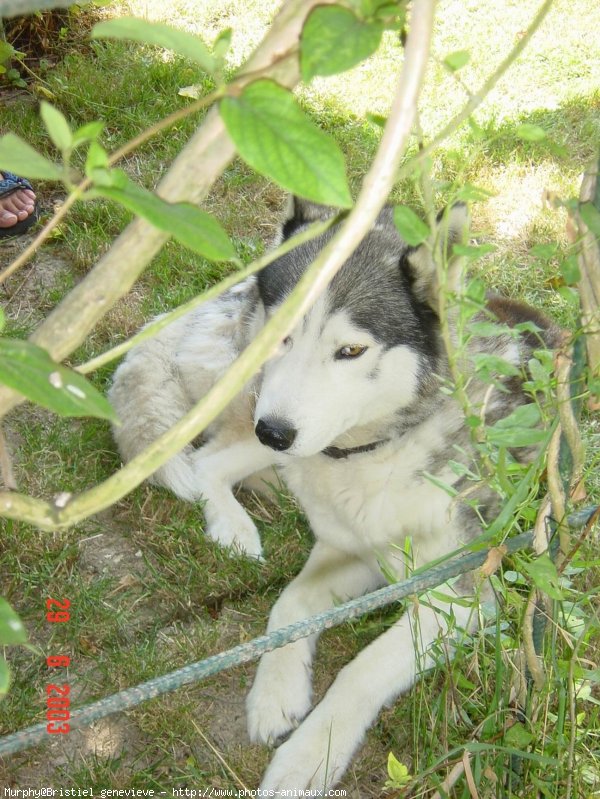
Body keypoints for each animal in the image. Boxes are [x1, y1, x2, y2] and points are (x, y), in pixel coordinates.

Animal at [110, 198, 560, 788]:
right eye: (282, 333)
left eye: (350, 350)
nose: (275, 432)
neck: (378, 454)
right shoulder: (345, 547)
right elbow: (290, 602)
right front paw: (276, 694)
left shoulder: (459, 597)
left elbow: (358, 668)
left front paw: (309, 756)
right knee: (207, 462)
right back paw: (236, 525)